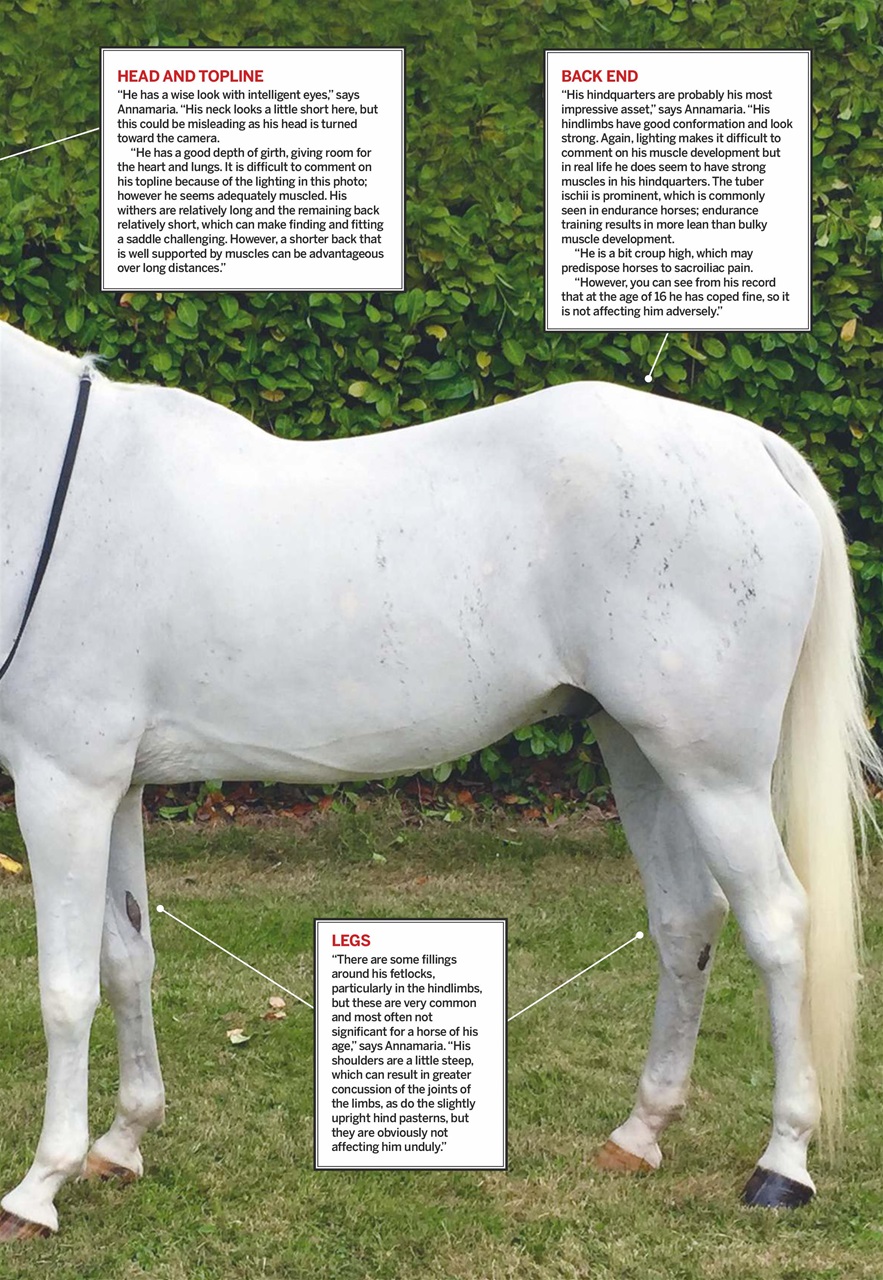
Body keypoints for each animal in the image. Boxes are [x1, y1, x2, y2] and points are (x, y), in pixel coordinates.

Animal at [0, 319, 878, 1238]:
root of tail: (753, 446)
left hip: (715, 773)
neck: (55, 489)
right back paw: (638, 1134)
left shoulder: (61, 786)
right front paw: (121, 1143)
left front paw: (38, 1187)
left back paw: (781, 1166)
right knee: (685, 919)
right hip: (640, 751)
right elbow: (126, 958)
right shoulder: (114, 787)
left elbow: (64, 988)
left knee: (776, 924)